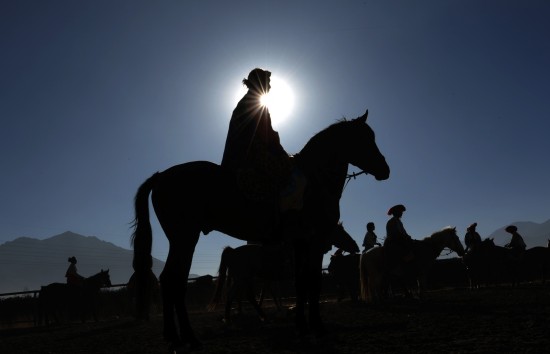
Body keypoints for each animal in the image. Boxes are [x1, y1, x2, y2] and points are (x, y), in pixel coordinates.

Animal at [209, 224, 360, 324]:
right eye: (341, 232)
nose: (355, 246)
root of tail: (233, 251)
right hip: (242, 278)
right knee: (233, 295)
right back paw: (228, 318)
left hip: (245, 279)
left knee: (247, 296)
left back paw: (262, 315)